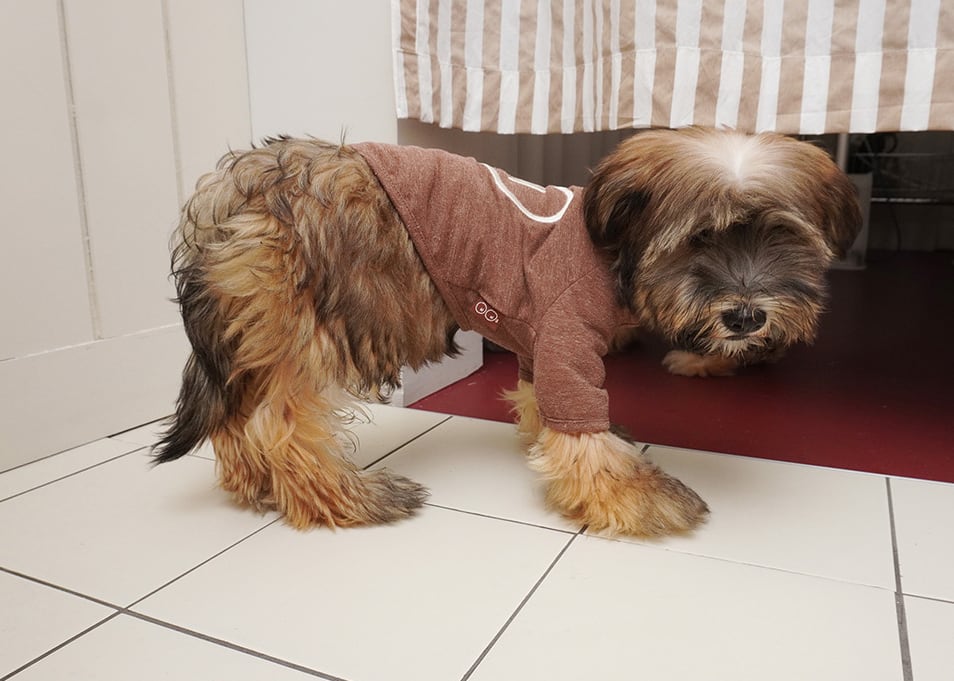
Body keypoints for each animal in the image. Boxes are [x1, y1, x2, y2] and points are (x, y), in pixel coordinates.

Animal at [154, 127, 861, 537]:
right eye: (701, 239)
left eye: (784, 236)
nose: (747, 317)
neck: (611, 252)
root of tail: (230, 186)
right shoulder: (566, 337)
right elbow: (582, 434)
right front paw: (641, 497)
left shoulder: (535, 343)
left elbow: (542, 403)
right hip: (312, 325)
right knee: (279, 425)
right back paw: (346, 497)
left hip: (260, 331)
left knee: (241, 414)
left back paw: (256, 486)